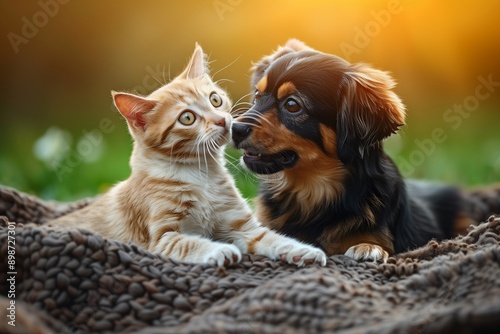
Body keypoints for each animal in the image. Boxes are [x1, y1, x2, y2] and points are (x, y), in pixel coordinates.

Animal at [48, 44, 326, 268]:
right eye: (187, 118)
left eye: (215, 100)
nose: (222, 121)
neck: (201, 175)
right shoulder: (161, 239)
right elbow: (190, 243)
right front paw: (220, 250)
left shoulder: (242, 226)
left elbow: (271, 238)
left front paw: (304, 250)